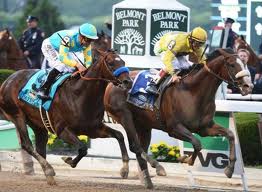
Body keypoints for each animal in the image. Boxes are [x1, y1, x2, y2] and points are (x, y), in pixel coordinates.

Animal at [0, 49, 132, 184]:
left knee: (40, 149)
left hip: (38, 124)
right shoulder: (62, 130)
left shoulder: (93, 129)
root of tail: (8, 79)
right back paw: (49, 169)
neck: (80, 95)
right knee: (27, 145)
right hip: (17, 115)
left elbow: (119, 135)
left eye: (123, 62)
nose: (128, 82)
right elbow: (83, 148)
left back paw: (49, 175)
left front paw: (125, 169)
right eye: (110, 63)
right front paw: (69, 160)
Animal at [104, 48, 254, 188]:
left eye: (245, 63)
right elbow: (197, 143)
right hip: (125, 117)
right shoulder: (174, 128)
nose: (248, 86)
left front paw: (229, 169)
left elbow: (230, 134)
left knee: (140, 148)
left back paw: (147, 180)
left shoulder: (205, 128)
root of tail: (112, 83)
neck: (193, 92)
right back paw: (154, 168)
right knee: (135, 146)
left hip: (144, 125)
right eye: (232, 64)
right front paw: (185, 159)